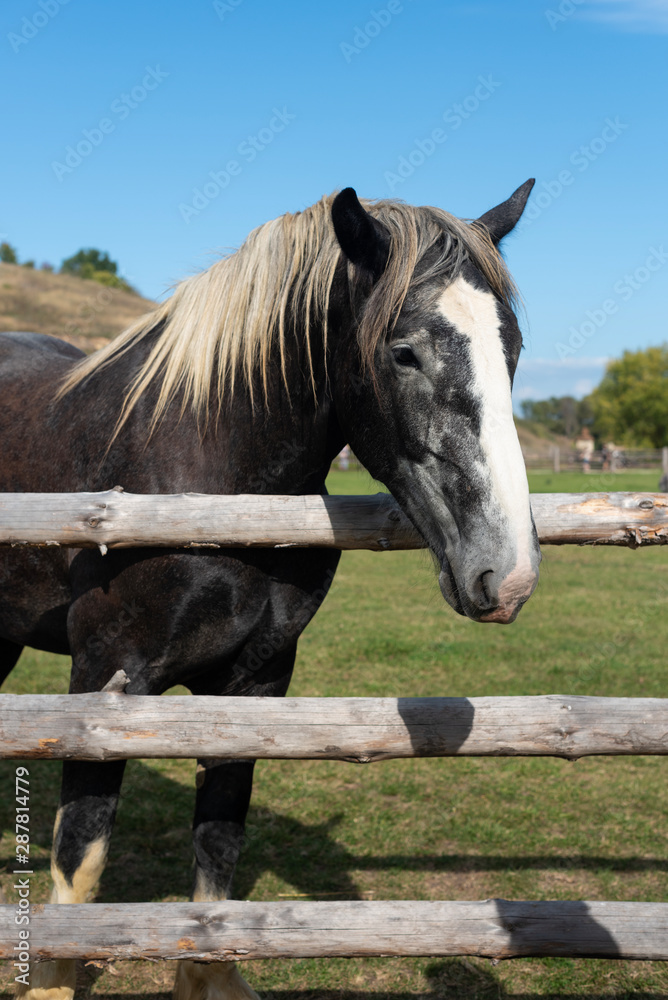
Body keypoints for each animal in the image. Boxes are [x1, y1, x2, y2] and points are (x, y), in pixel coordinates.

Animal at [0, 181, 541, 1000]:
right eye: (403, 351)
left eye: (511, 349)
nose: (507, 575)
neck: (209, 477)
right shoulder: (104, 681)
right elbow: (80, 858)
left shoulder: (254, 682)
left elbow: (219, 846)